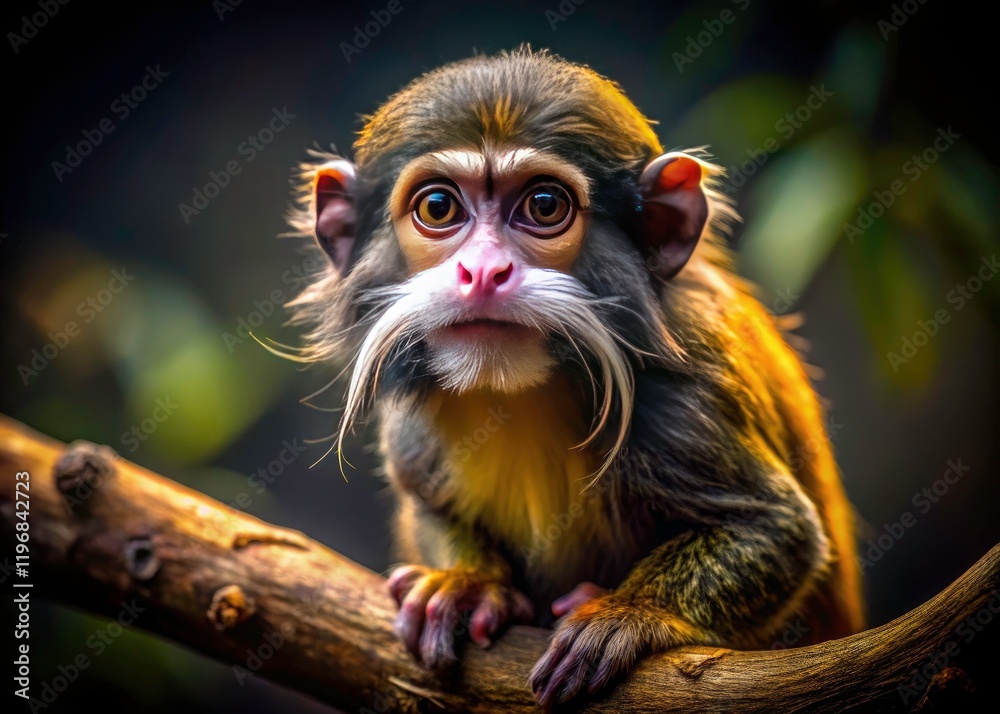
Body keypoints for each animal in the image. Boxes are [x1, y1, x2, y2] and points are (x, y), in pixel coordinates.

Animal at [283, 47, 864, 708]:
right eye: (438, 208)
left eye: (544, 206)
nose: (484, 271)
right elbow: (426, 505)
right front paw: (464, 581)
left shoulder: (685, 395)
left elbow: (778, 531)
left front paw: (629, 612)